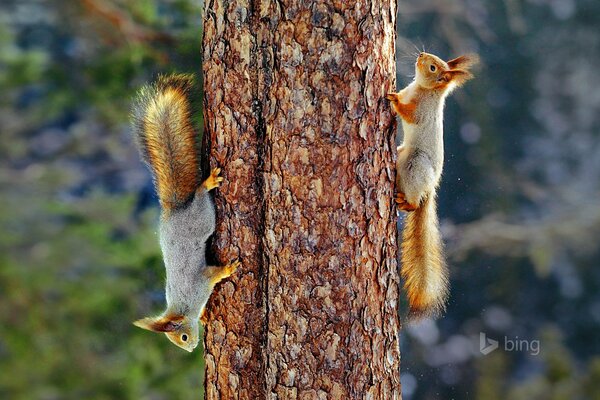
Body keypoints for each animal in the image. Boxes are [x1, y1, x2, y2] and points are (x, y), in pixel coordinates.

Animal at [386, 51, 480, 320]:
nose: (421, 55)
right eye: (433, 60)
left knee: (413, 202)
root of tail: (430, 188)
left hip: (416, 165)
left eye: (432, 67)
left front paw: (393, 99)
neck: (422, 89)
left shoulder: (422, 112)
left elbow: (409, 114)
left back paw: (406, 201)